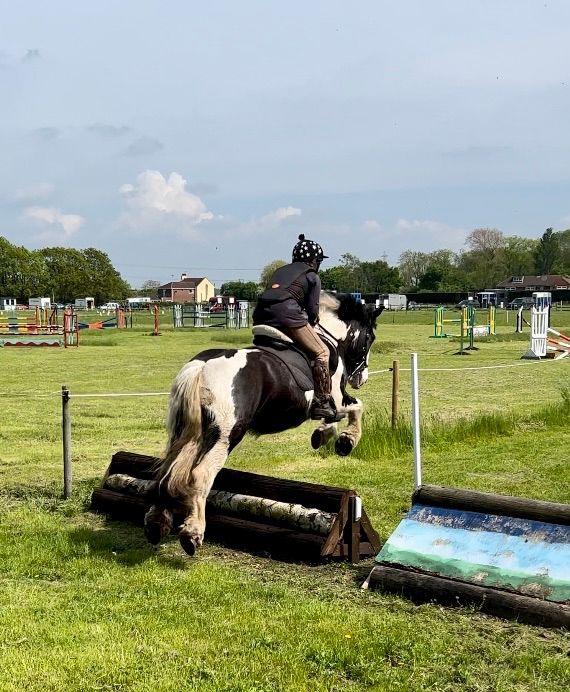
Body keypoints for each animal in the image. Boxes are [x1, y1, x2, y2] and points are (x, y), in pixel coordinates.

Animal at [142, 292, 382, 556]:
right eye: (369, 338)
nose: (361, 378)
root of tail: (202, 367)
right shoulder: (337, 400)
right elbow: (357, 407)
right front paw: (345, 442)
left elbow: (336, 418)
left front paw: (323, 435)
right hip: (226, 434)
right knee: (200, 474)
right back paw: (192, 533)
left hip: (186, 431)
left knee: (167, 469)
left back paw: (156, 524)